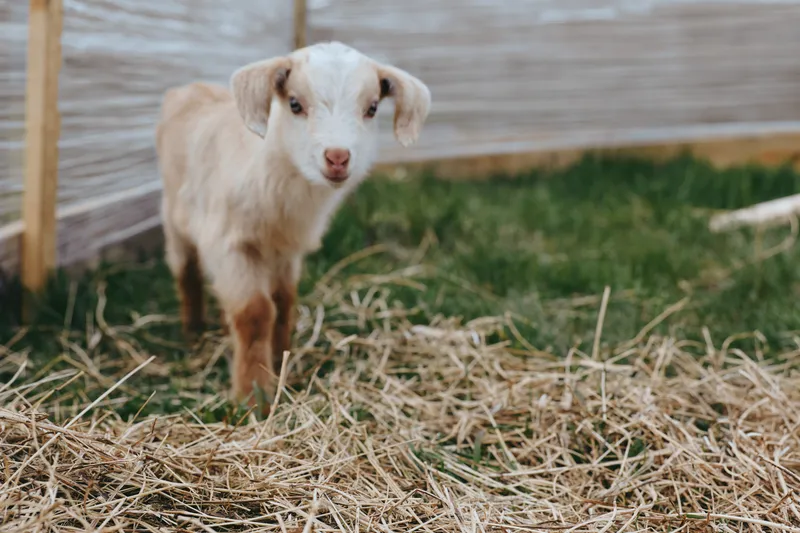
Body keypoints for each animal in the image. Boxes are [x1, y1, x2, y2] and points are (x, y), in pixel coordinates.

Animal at [155, 42, 431, 408]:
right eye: (295, 104)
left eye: (372, 108)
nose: (338, 158)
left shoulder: (287, 250)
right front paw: (253, 395)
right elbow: (255, 313)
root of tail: (188, 88)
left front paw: (281, 360)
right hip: (174, 214)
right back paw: (193, 330)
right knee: (186, 273)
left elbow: (284, 302)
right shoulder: (229, 244)